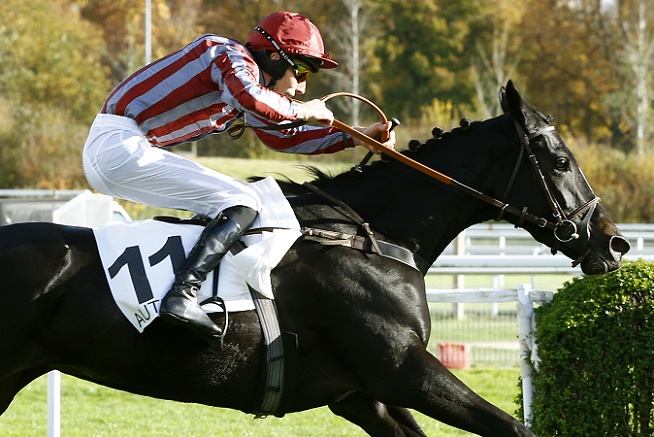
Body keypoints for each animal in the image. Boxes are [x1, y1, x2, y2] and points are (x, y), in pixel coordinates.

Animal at [0, 82, 632, 436]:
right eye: (559, 159)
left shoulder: (362, 395)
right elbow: (514, 430)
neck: (370, 237)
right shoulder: (402, 371)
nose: (613, 242)